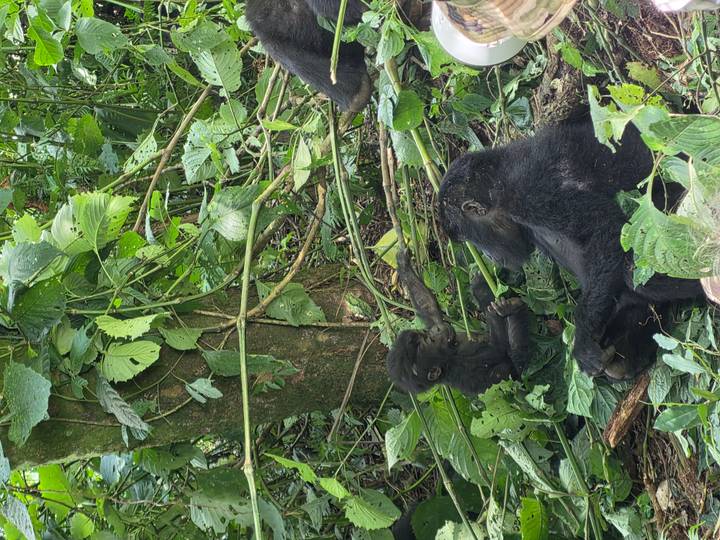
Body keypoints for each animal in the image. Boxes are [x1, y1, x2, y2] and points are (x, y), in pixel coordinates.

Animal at [438, 120, 704, 380]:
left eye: (471, 238)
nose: (487, 255)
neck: (498, 189)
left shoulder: (530, 194)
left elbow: (605, 231)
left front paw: (583, 338)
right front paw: (485, 291)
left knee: (636, 269)